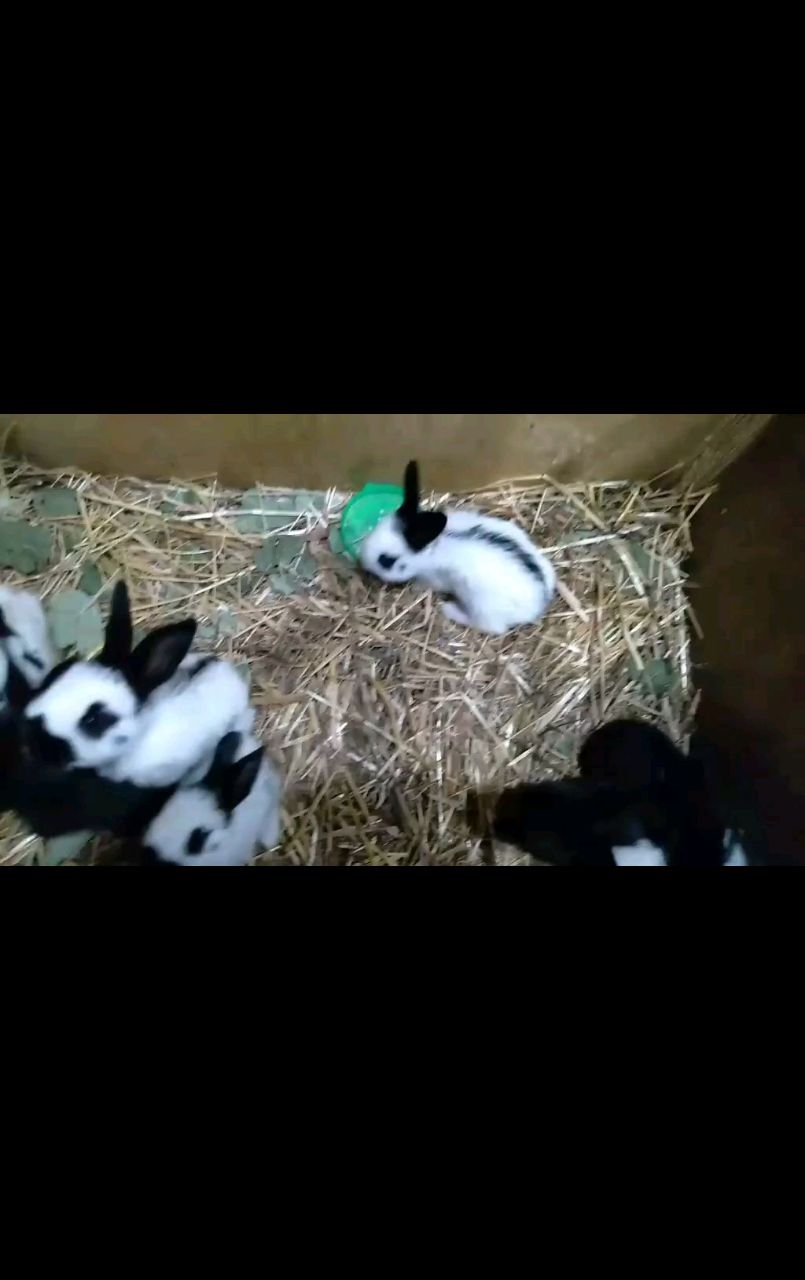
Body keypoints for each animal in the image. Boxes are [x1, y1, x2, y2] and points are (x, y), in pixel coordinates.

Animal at [359, 461, 556, 635]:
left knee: (491, 628)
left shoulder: (432, 578)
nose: (362, 561)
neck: (432, 549)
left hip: (482, 607)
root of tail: (539, 601)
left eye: (387, 560)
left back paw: (449, 609)